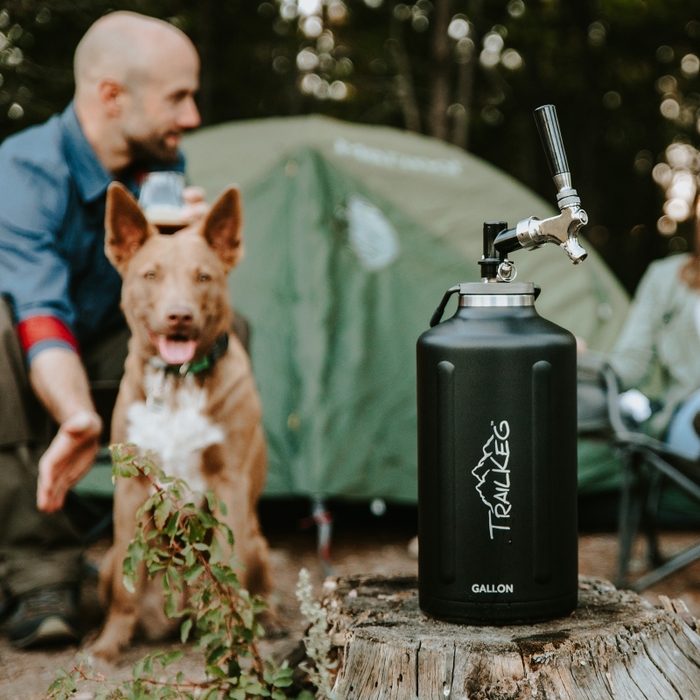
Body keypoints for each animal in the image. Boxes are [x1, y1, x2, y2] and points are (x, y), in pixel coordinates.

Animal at [90, 182, 270, 660]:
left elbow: (228, 564)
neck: (177, 382)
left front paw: (233, 637)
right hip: (109, 559)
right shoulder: (132, 488)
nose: (179, 314)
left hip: (259, 545)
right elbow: (126, 589)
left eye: (203, 277)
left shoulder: (229, 482)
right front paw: (108, 645)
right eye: (150, 275)